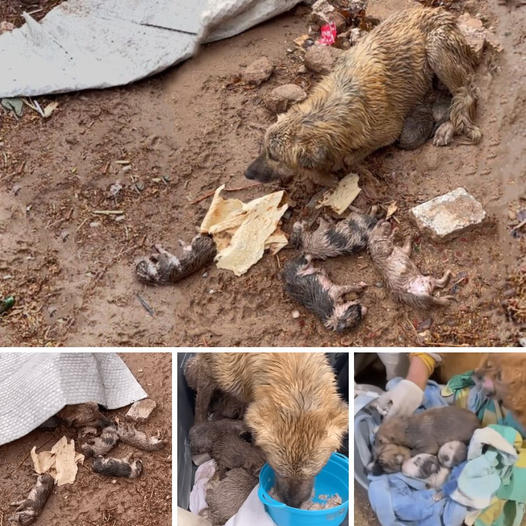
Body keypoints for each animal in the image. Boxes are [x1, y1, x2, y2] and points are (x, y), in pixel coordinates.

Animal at [186, 356, 350, 510]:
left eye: (316, 471)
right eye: (279, 471)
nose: (293, 504)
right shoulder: (210, 370)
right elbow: (201, 404)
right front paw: (200, 427)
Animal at [248, 4, 482, 184]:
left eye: (275, 157)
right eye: (264, 148)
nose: (247, 173)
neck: (331, 107)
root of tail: (439, 11)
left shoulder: (388, 131)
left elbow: (349, 159)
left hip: (436, 47)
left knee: (466, 92)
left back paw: (448, 126)